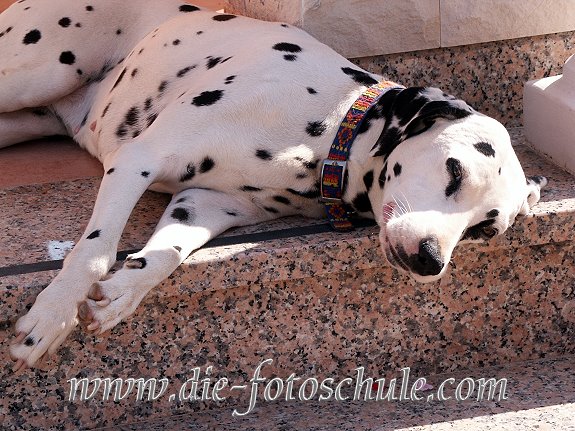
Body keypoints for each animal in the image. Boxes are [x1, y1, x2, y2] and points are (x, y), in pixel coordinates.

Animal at [2, 0, 548, 372]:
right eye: (455, 171)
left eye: (483, 231)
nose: (431, 260)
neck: (326, 130)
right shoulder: (140, 158)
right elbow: (93, 252)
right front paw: (53, 315)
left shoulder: (203, 205)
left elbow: (164, 257)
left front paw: (121, 294)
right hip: (37, 72)